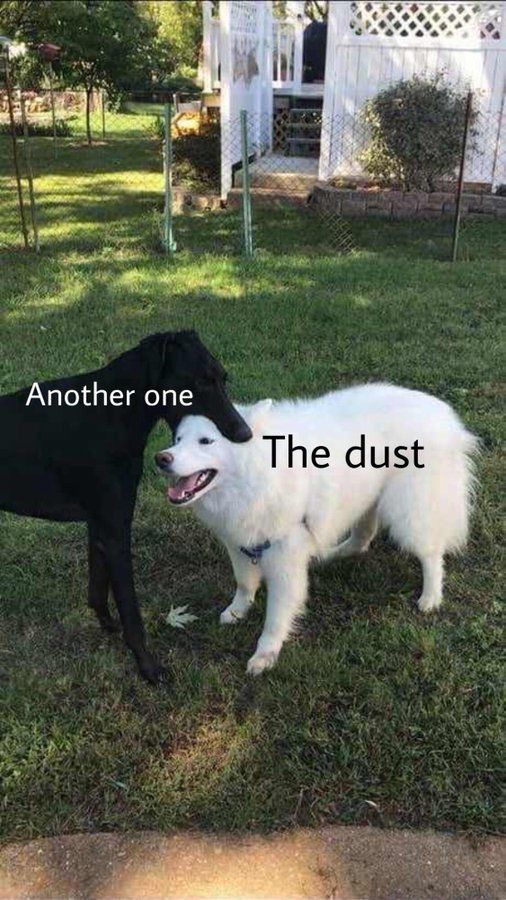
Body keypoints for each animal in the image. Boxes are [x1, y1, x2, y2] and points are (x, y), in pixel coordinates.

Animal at [0, 331, 251, 682]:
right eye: (199, 381)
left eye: (223, 378)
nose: (245, 433)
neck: (112, 413)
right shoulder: (115, 530)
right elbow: (131, 612)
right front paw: (148, 666)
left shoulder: (100, 525)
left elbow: (96, 590)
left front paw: (108, 626)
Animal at [156, 383, 477, 675]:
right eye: (178, 439)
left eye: (206, 441)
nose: (161, 458)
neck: (260, 473)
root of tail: (444, 416)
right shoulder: (240, 544)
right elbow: (245, 583)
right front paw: (236, 611)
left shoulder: (284, 563)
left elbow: (275, 617)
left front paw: (265, 654)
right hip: (365, 497)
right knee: (362, 538)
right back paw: (331, 553)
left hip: (408, 511)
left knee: (431, 554)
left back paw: (430, 597)